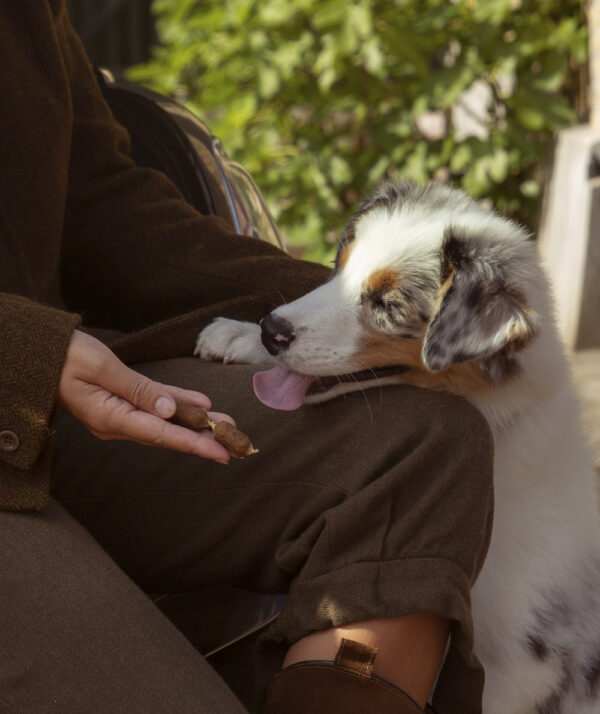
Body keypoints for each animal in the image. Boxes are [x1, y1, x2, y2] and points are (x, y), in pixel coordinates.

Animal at [196, 179, 600, 712]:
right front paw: (238, 336)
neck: (498, 419)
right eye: (341, 266)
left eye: (388, 305)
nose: (270, 329)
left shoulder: (517, 667)